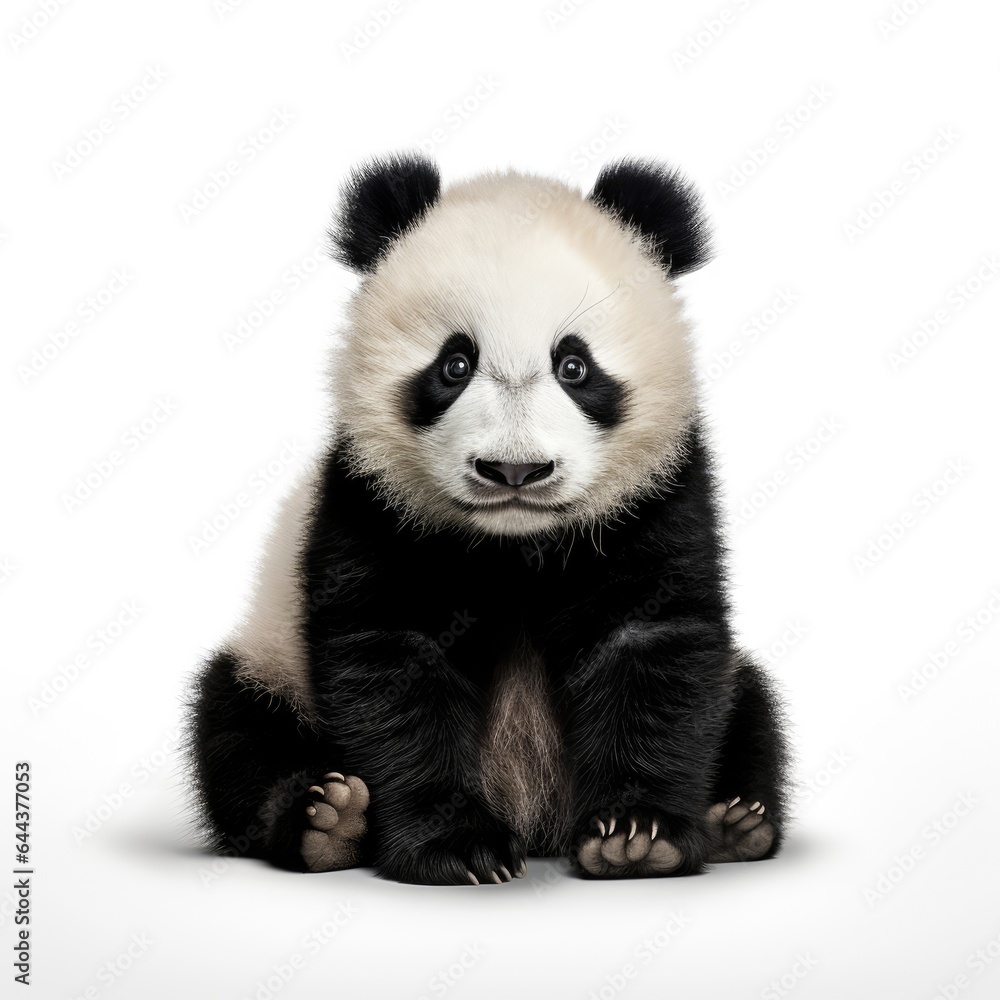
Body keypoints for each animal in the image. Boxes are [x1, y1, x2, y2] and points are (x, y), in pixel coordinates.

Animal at [188, 153, 790, 884]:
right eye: (454, 363)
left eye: (574, 365)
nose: (514, 471)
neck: (516, 545)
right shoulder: (369, 502)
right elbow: (392, 662)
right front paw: (457, 846)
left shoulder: (659, 500)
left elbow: (655, 645)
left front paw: (637, 836)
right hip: (273, 659)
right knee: (236, 730)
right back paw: (325, 821)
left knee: (750, 704)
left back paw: (736, 822)